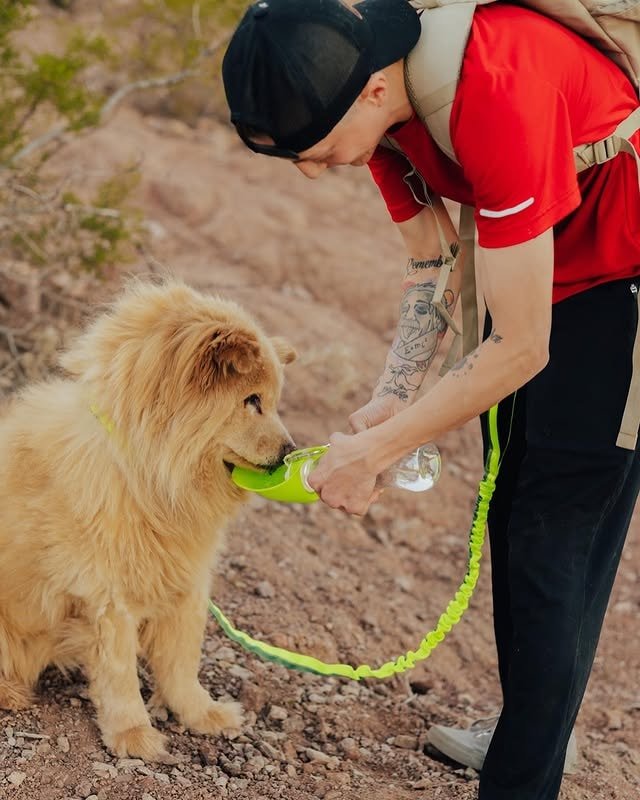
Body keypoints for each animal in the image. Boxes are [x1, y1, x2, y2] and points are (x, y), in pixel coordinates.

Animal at [0, 280, 296, 764]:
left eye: (272, 403)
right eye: (252, 401)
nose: (290, 452)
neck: (148, 480)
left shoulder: (186, 586)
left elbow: (182, 665)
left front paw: (203, 715)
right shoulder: (109, 600)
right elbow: (121, 676)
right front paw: (134, 735)